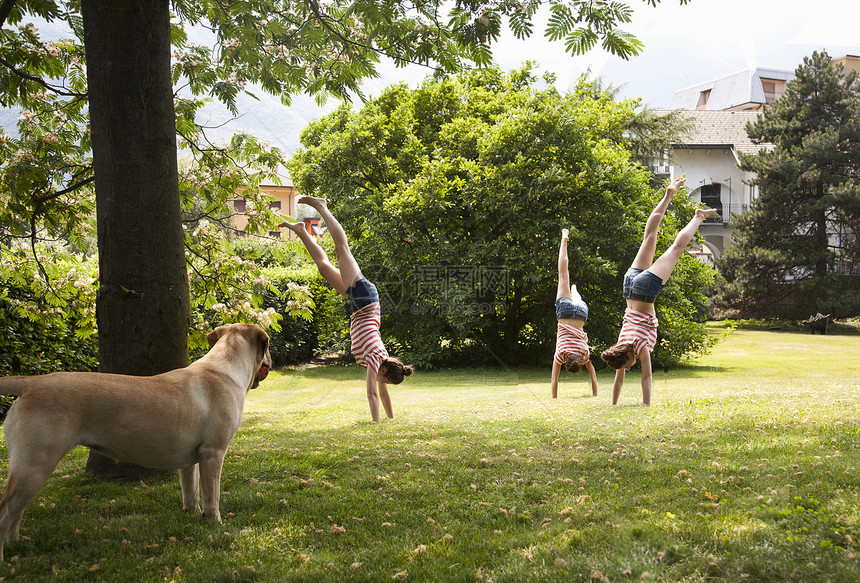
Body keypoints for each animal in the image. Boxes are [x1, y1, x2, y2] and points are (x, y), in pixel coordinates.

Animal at [0, 322, 272, 560]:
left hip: (28, 468)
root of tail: (32, 381)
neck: (224, 366)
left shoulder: (191, 460)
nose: (272, 361)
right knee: (6, 512)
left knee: (15, 514)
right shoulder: (213, 453)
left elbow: (191, 492)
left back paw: (16, 545)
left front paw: (192, 516)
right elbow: (211, 496)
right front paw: (215, 523)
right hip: (36, 465)